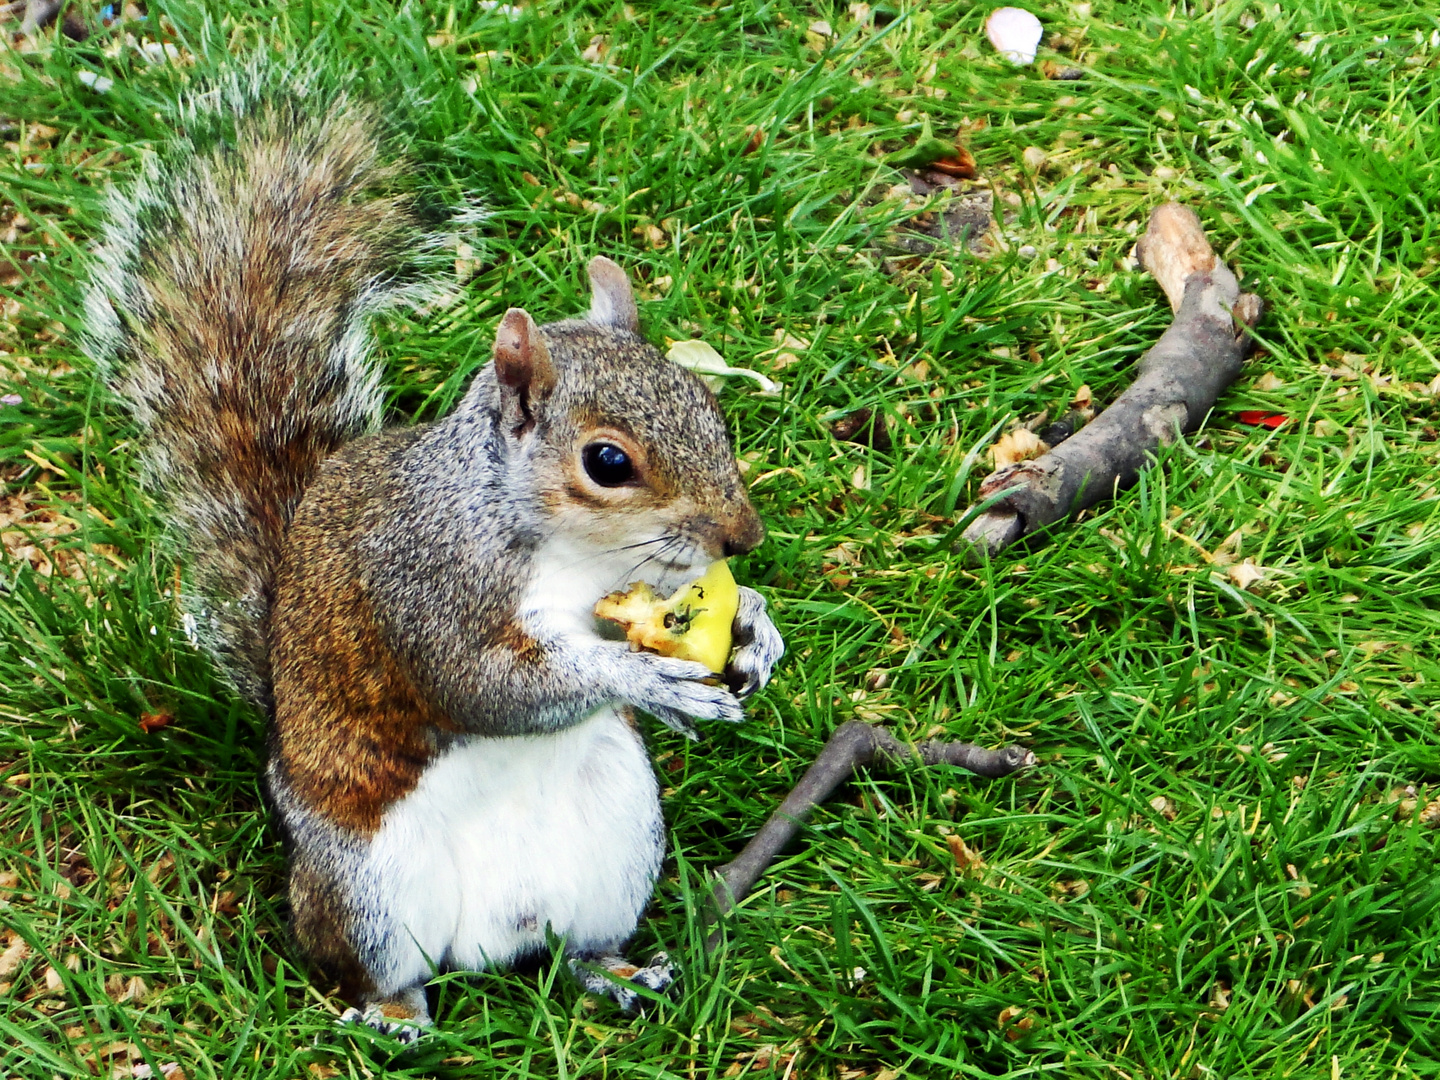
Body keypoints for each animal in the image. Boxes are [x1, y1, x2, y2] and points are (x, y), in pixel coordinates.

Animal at [84, 88, 783, 1036]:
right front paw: (645, 679)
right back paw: (394, 1018)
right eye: (607, 462)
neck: (573, 555)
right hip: (365, 885)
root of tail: (494, 940)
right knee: (377, 964)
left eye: (708, 402)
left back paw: (616, 972)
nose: (741, 537)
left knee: (577, 945)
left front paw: (753, 630)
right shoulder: (424, 584)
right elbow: (483, 685)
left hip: (620, 834)